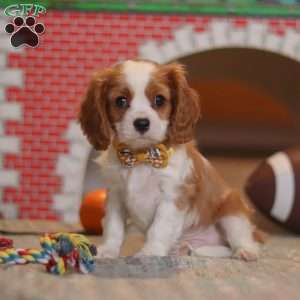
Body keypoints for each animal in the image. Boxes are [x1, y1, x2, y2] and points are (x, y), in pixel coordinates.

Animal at [78, 59, 262, 260]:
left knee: (238, 240)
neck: (141, 156)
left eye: (159, 100)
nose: (142, 123)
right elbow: (114, 227)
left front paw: (150, 253)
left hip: (232, 210)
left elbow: (159, 227)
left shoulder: (172, 196)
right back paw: (184, 249)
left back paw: (246, 251)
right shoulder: (116, 195)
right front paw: (107, 251)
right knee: (217, 250)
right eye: (121, 101)